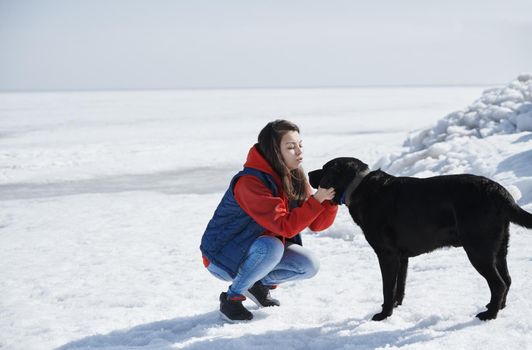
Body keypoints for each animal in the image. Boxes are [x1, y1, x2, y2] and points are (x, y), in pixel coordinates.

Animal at [308, 157, 532, 322]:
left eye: (325, 168)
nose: (309, 173)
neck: (361, 187)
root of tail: (497, 190)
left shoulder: (387, 254)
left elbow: (387, 288)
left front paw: (383, 315)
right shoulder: (402, 257)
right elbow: (399, 286)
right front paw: (395, 308)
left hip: (478, 250)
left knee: (499, 283)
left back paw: (489, 315)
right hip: (499, 248)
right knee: (507, 280)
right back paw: (499, 307)